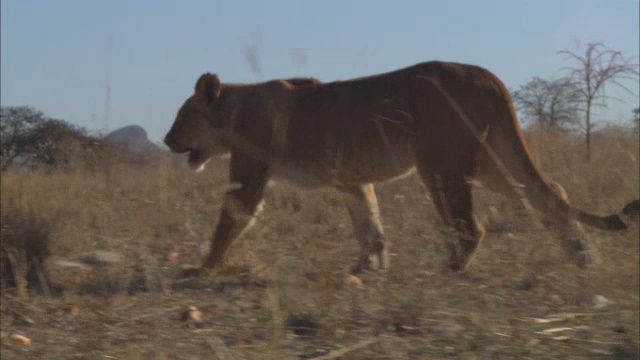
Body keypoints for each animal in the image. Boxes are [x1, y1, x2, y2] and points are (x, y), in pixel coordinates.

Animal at [162, 61, 632, 278]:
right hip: (487, 162)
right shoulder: (351, 181)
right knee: (550, 192)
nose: (167, 141)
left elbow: (229, 220)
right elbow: (369, 222)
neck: (233, 107)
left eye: (183, 116)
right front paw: (370, 266)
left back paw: (451, 268)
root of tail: (486, 74)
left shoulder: (249, 174)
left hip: (441, 166)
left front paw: (201, 269)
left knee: (472, 225)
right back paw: (584, 255)